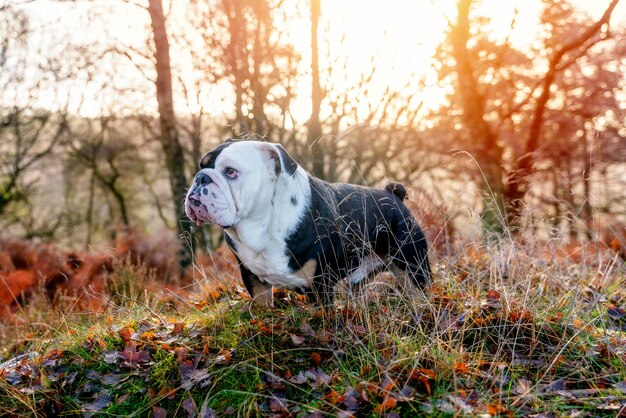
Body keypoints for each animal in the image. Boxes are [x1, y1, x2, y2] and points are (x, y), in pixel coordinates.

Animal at [185, 140, 428, 306]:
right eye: (201, 165)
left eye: (231, 172)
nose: (201, 177)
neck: (262, 226)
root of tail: (393, 195)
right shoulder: (253, 278)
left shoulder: (320, 285)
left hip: (413, 266)